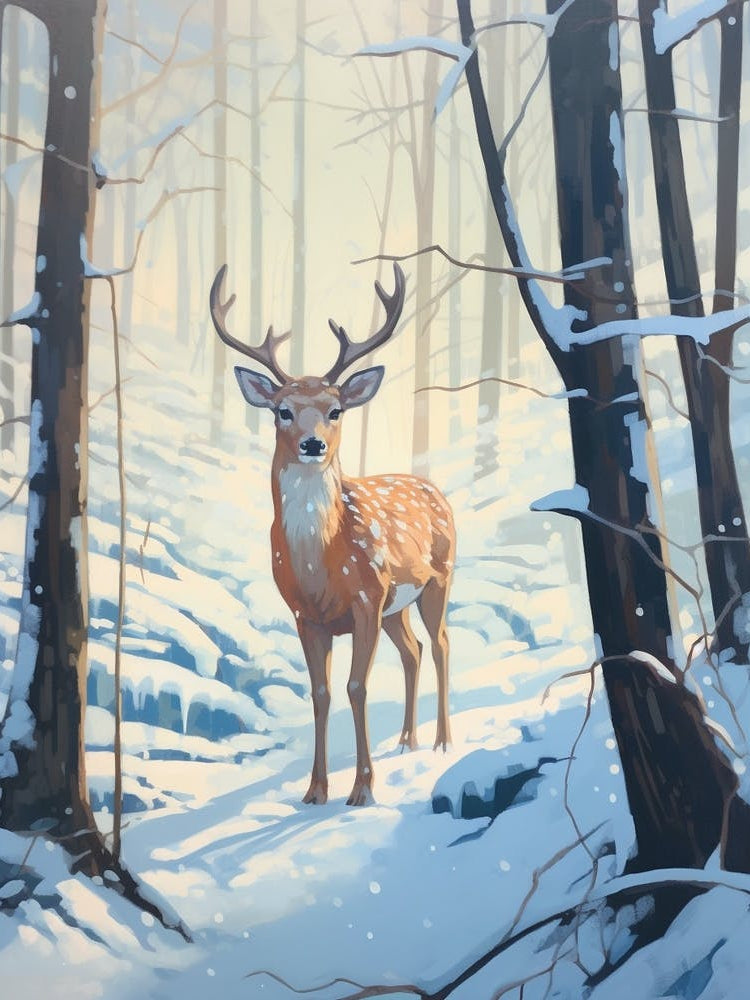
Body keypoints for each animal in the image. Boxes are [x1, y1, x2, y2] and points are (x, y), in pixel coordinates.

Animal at [209, 262, 455, 806]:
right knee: (413, 651)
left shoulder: (366, 598)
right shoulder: (306, 615)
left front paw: (362, 789)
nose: (312, 443)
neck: (319, 564)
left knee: (441, 643)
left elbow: (355, 688)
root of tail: (433, 488)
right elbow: (320, 694)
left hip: (438, 578)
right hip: (396, 605)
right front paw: (315, 790)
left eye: (335, 409)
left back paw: (442, 742)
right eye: (282, 410)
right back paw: (406, 740)